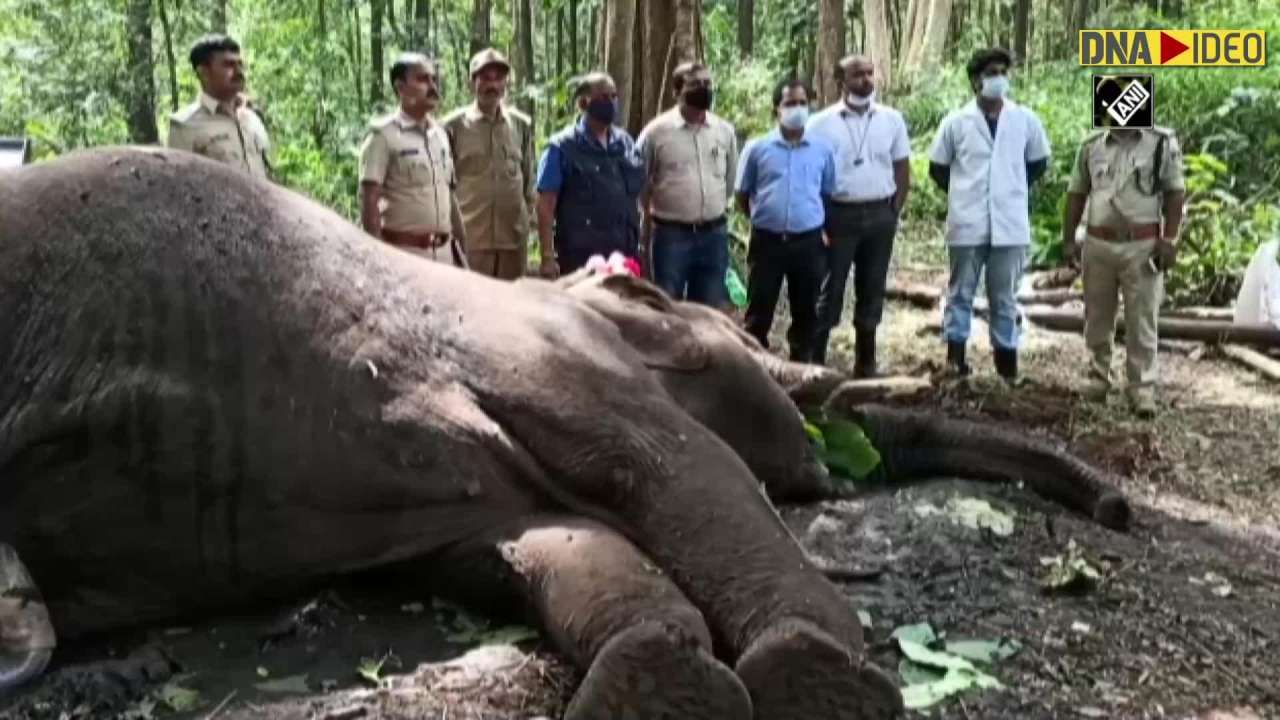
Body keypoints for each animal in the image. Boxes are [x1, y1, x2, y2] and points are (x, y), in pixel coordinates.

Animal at [0, 148, 1128, 718]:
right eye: (756, 360)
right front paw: (821, 684)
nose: (1116, 506)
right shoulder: (561, 366)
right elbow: (696, 471)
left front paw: (662, 686)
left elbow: (554, 547)